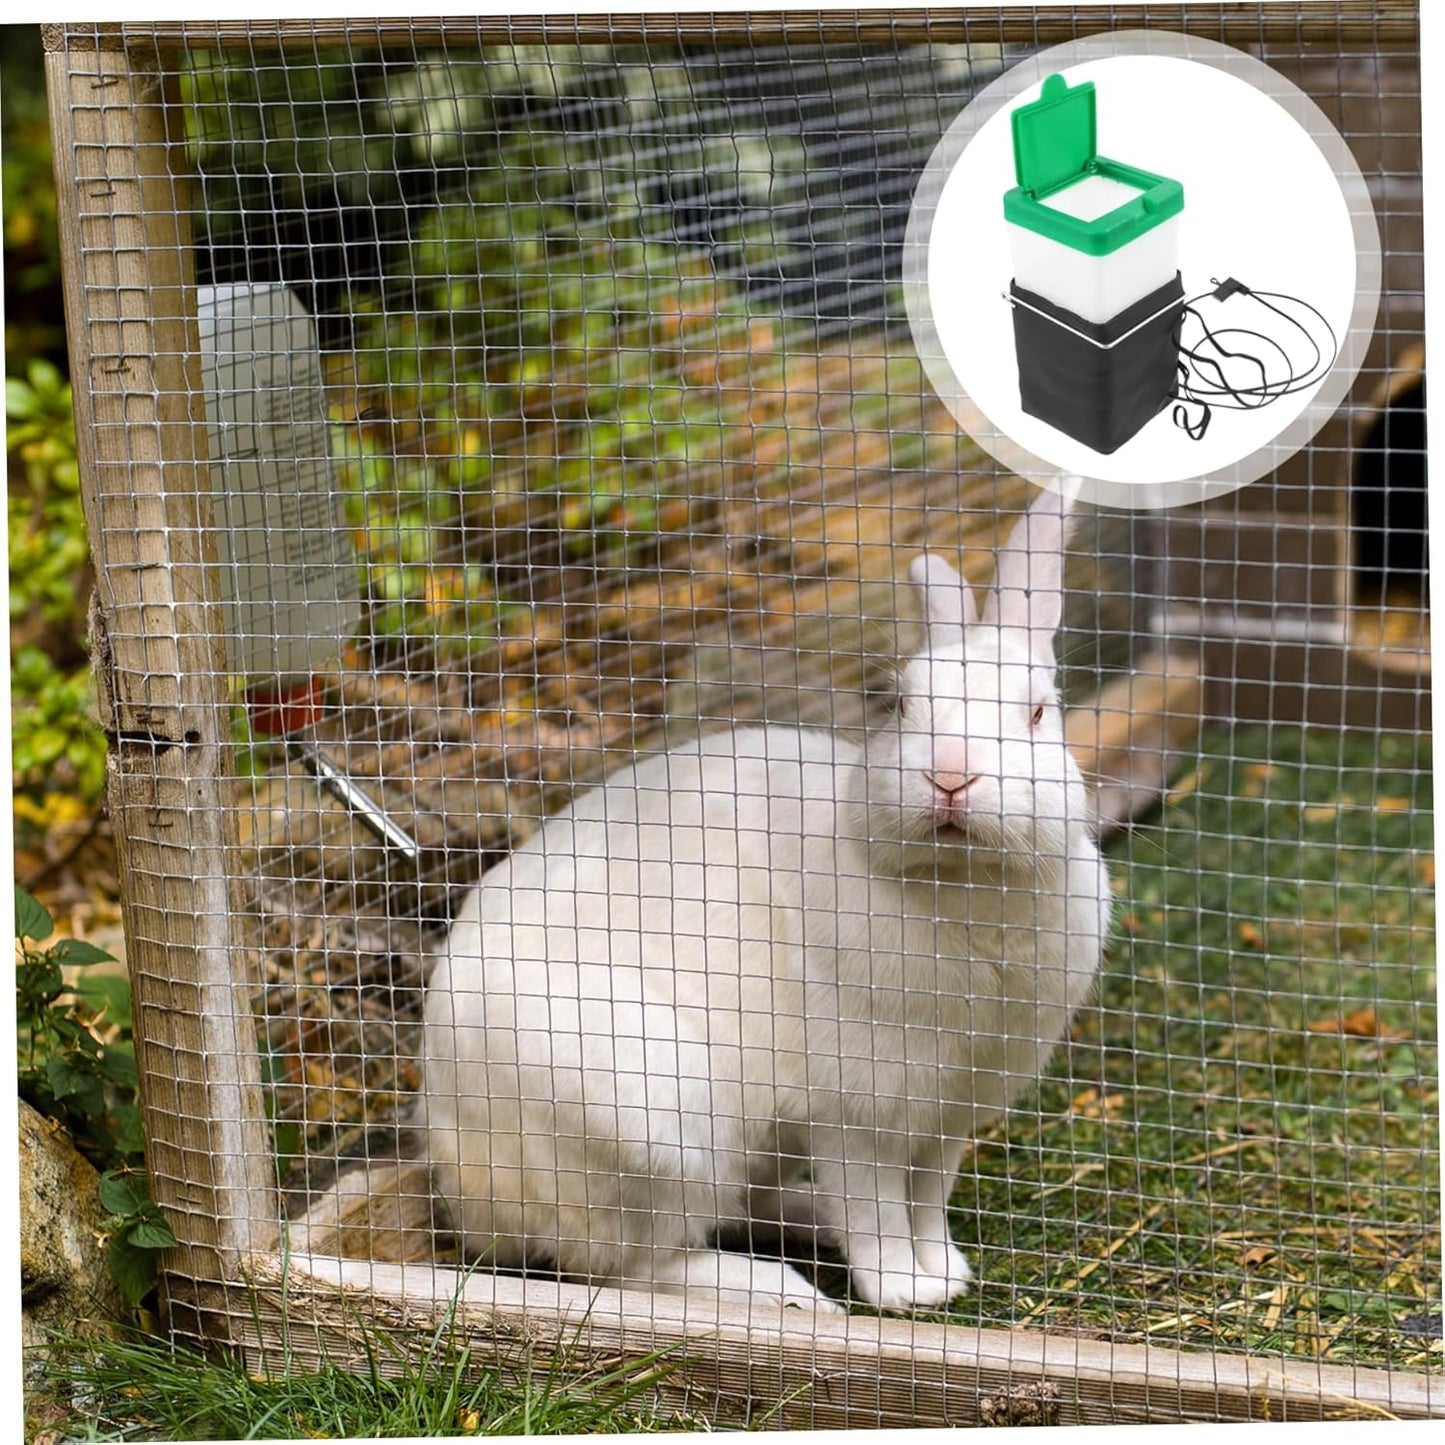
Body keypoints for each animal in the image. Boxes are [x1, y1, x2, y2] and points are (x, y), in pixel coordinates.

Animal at [419, 480, 1113, 1314]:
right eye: (900, 705)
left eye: (1038, 712)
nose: (949, 776)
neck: (963, 883)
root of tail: (466, 1189)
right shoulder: (858, 1112)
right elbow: (877, 1208)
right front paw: (903, 1291)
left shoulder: (946, 1118)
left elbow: (926, 1199)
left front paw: (944, 1275)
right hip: (648, 1124)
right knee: (636, 1265)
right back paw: (782, 1294)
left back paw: (804, 1229)